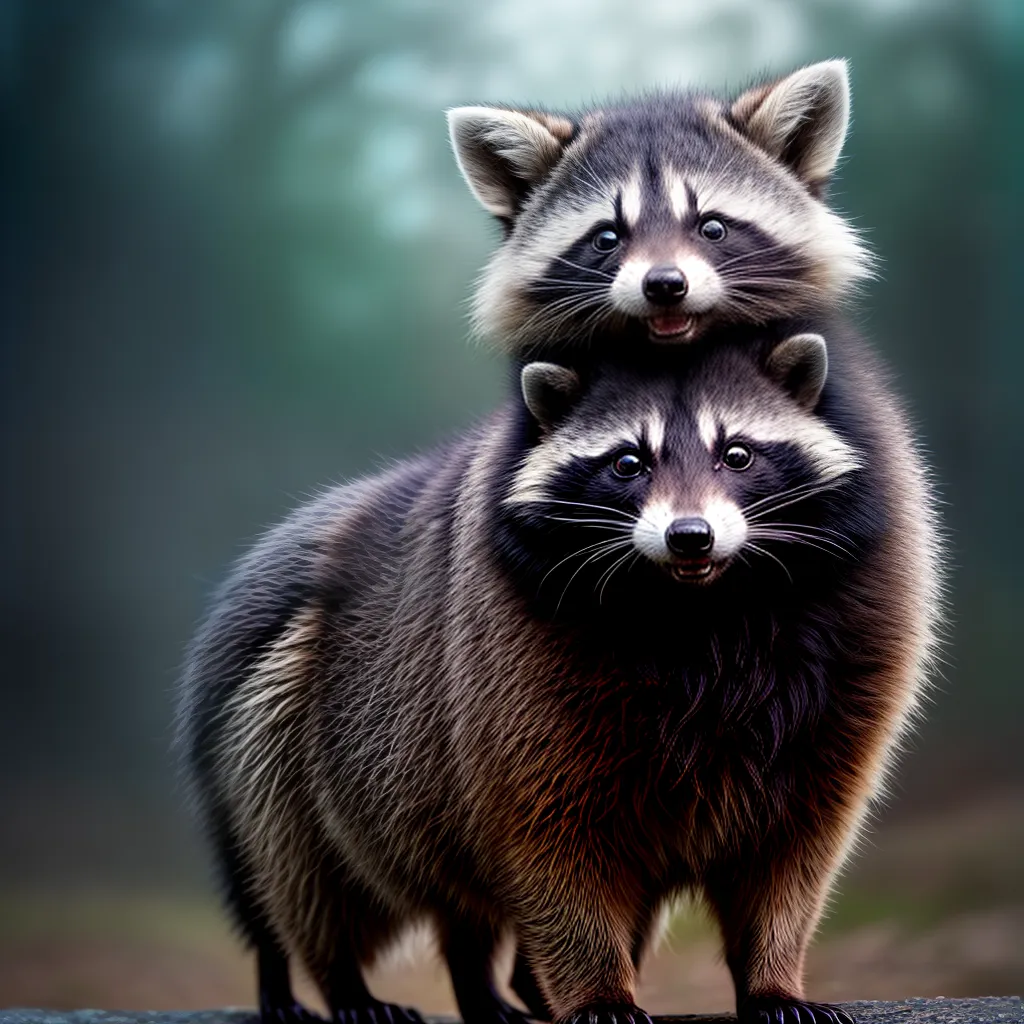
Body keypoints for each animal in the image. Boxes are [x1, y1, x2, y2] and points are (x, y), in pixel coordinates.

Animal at [178, 327, 941, 1024]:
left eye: (738, 453)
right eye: (628, 461)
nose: (689, 536)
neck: (700, 607)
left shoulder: (844, 683)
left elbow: (791, 857)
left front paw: (771, 975)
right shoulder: (508, 681)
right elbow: (551, 846)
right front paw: (598, 989)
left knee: (457, 912)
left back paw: (488, 990)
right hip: (283, 741)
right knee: (303, 886)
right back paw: (330, 981)